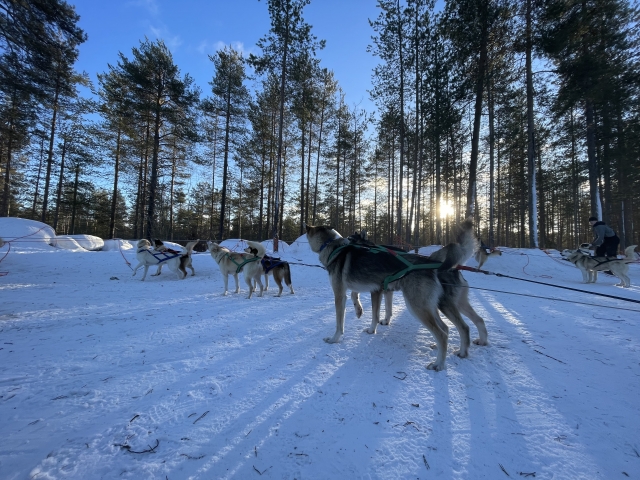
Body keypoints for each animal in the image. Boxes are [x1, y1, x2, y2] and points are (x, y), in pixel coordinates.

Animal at [306, 218, 484, 372]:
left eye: (352, 238)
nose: (305, 225)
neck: (334, 248)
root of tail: (433, 264)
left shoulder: (343, 294)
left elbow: (341, 322)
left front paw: (334, 339)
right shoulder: (373, 289)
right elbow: (368, 305)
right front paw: (362, 314)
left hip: (419, 307)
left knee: (443, 333)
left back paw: (439, 364)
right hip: (434, 306)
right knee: (451, 327)